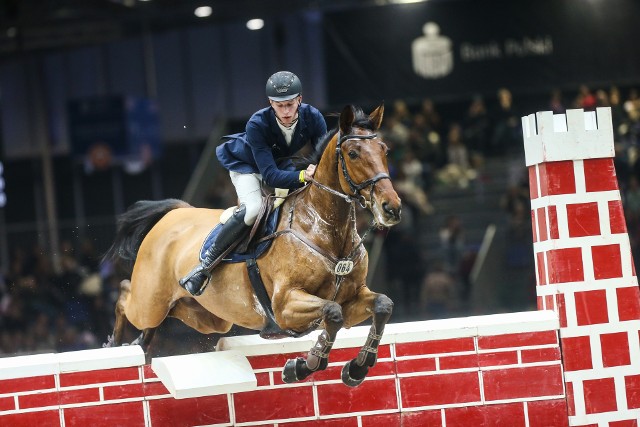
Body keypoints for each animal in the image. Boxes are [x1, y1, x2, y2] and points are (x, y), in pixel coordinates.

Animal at [103, 104, 402, 388]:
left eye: (385, 149)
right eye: (353, 153)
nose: (392, 208)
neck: (326, 229)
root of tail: (175, 212)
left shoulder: (352, 299)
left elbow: (382, 306)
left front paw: (357, 368)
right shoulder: (286, 305)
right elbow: (332, 313)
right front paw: (301, 367)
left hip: (208, 317)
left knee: (164, 314)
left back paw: (141, 343)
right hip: (150, 300)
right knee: (126, 295)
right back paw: (115, 343)